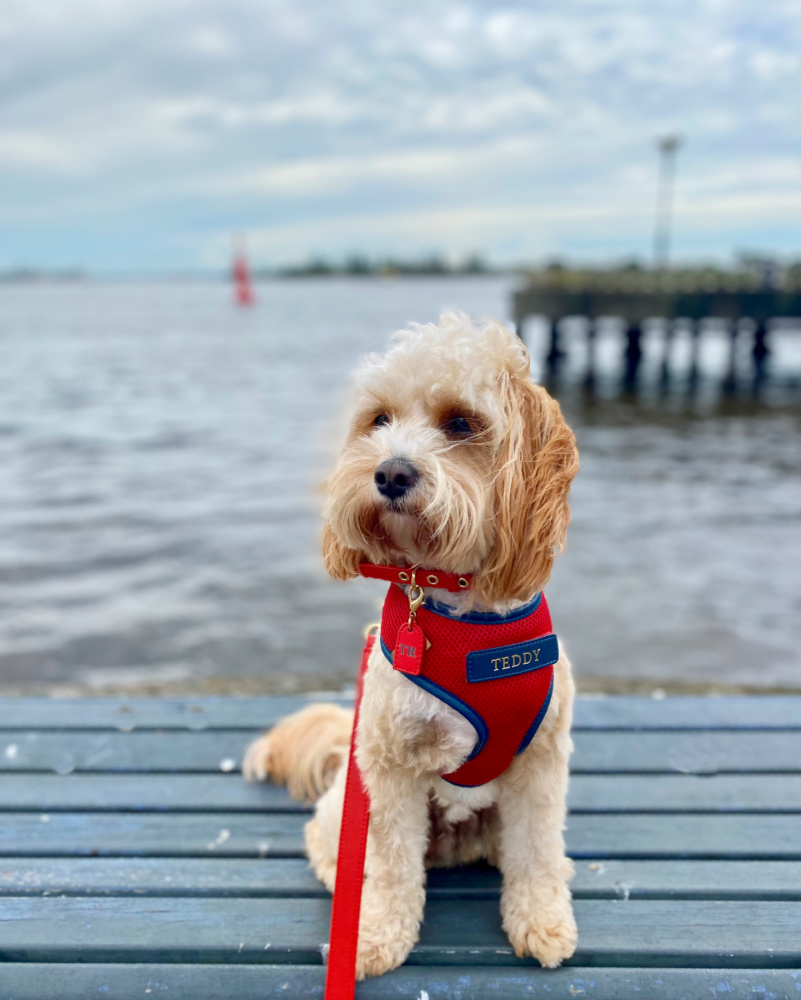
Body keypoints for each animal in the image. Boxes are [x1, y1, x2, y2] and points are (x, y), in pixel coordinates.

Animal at [241, 312, 580, 976]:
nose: (391, 473)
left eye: (461, 423)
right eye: (379, 420)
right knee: (336, 848)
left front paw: (542, 920)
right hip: (347, 800)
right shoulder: (390, 767)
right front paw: (372, 934)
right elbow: (393, 865)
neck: (459, 612)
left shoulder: (541, 761)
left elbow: (536, 849)